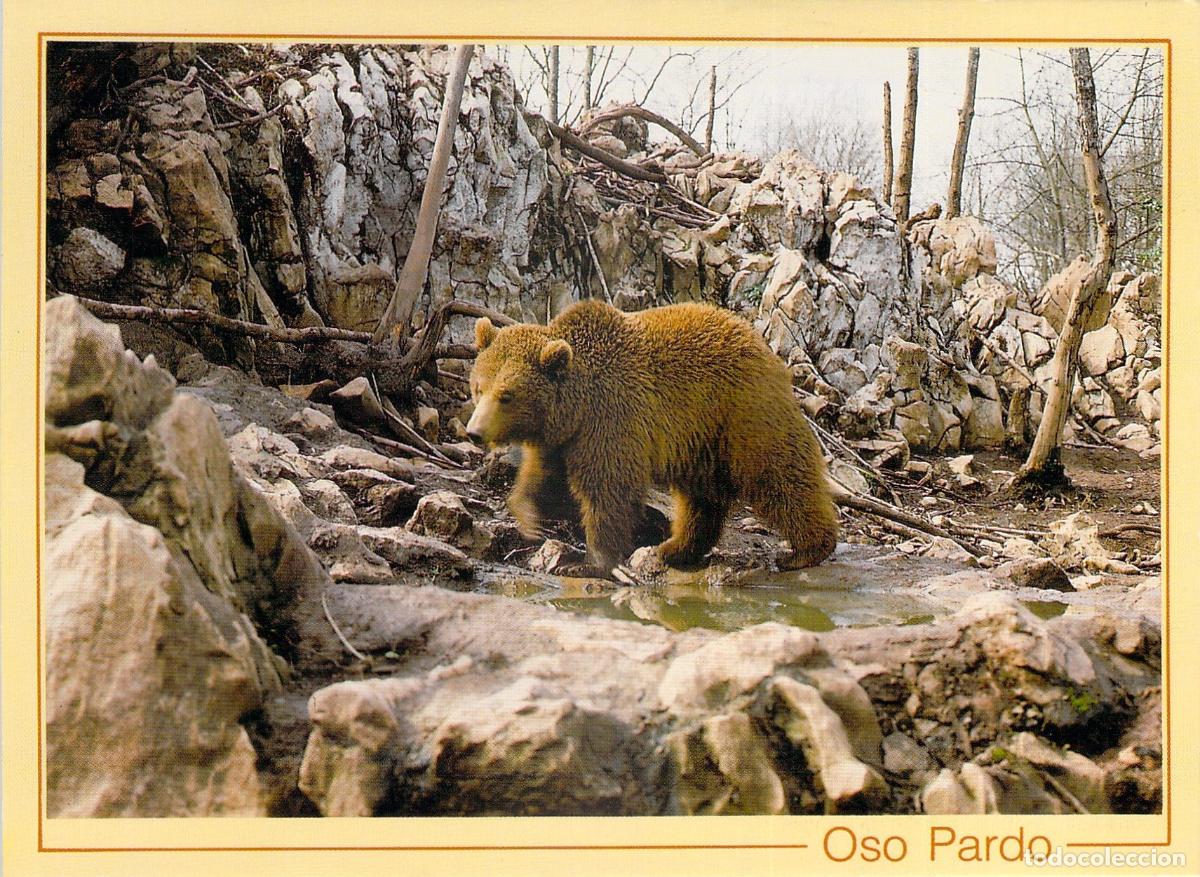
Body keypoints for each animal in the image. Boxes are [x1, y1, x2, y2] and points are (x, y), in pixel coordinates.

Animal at [466, 299, 838, 575]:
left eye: (507, 395)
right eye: (478, 387)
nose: (474, 432)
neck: (577, 406)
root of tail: (761, 344)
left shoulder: (611, 419)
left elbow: (607, 489)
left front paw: (589, 561)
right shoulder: (562, 439)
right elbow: (541, 478)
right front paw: (532, 521)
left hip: (742, 414)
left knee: (777, 476)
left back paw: (806, 550)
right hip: (701, 441)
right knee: (701, 498)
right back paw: (675, 547)